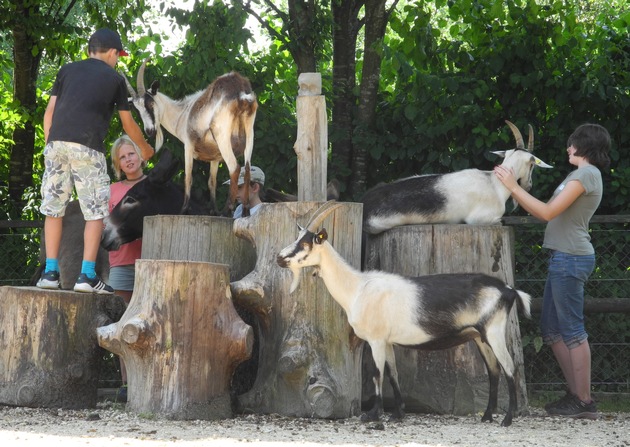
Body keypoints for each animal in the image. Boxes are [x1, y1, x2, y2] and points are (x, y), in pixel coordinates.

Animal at [124, 58, 258, 216]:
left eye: (150, 104)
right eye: (137, 110)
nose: (150, 131)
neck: (183, 113)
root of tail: (241, 94)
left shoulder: (188, 145)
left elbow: (188, 177)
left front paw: (183, 210)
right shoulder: (215, 156)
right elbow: (212, 181)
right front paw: (213, 211)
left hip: (222, 136)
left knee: (235, 168)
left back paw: (227, 209)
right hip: (249, 134)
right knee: (247, 169)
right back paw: (245, 211)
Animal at [278, 202, 532, 428]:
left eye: (306, 243)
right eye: (297, 238)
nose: (280, 258)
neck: (358, 288)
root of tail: (508, 290)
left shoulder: (376, 339)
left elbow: (377, 373)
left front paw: (374, 415)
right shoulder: (388, 341)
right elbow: (393, 373)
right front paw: (398, 413)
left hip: (494, 331)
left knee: (510, 369)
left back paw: (507, 420)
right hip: (480, 336)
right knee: (494, 370)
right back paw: (487, 416)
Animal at [362, 121, 556, 236]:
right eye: (532, 165)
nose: (529, 186)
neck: (495, 183)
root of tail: (366, 202)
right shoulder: (481, 219)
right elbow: (501, 221)